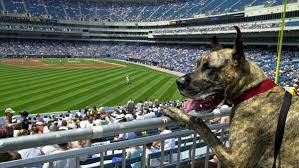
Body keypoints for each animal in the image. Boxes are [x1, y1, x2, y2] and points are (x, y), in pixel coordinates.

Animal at [164, 26, 299, 168]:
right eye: (197, 65)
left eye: (209, 68)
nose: (178, 82)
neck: (251, 89)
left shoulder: (235, 159)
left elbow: (199, 122)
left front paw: (176, 112)